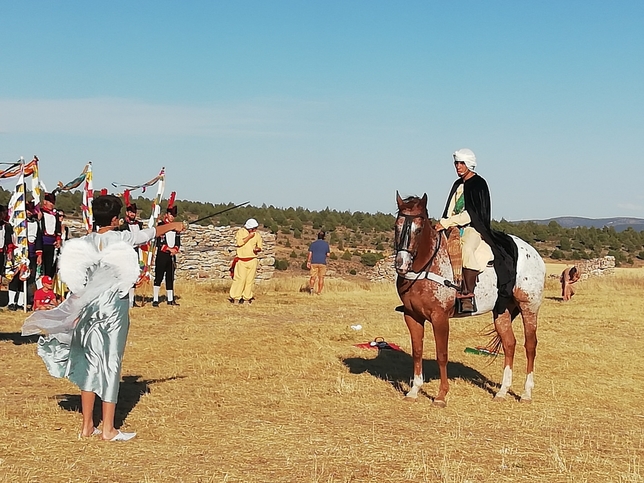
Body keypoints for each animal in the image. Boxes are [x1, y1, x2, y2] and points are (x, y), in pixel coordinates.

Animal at [394, 193, 544, 408]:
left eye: (419, 229)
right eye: (396, 226)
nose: (401, 264)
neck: (426, 266)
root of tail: (534, 254)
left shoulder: (440, 318)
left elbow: (442, 354)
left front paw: (441, 396)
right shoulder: (412, 316)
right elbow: (417, 351)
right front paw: (414, 390)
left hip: (529, 307)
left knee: (530, 345)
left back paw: (526, 392)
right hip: (501, 311)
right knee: (509, 344)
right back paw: (502, 391)